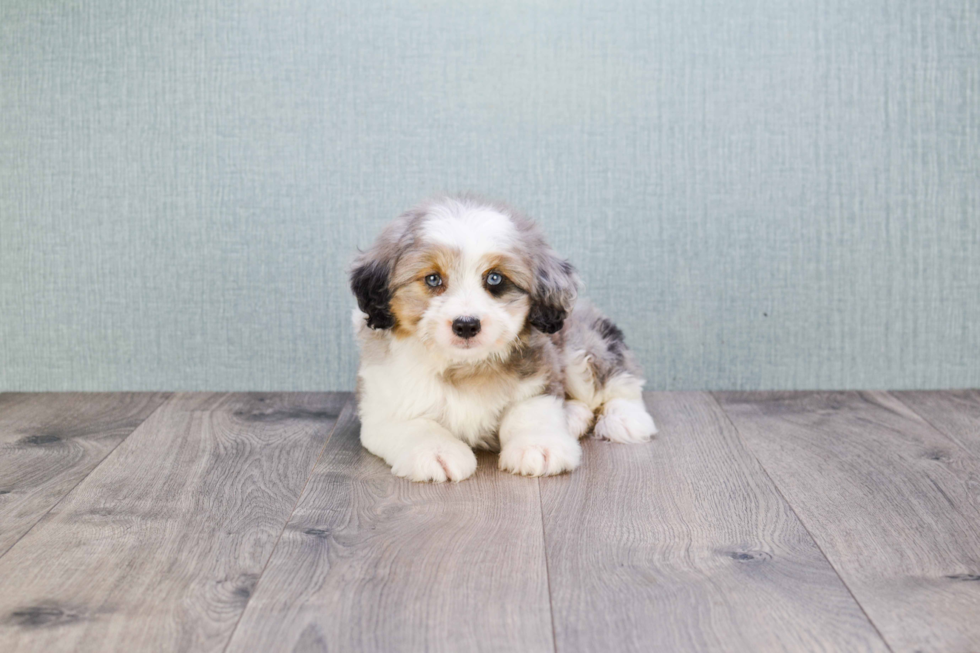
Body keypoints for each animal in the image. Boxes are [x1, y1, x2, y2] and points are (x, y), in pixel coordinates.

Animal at [348, 191, 656, 482]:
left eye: (495, 279)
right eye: (433, 279)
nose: (466, 325)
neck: (464, 367)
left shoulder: (539, 379)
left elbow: (529, 412)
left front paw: (537, 446)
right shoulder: (383, 402)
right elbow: (414, 424)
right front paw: (436, 451)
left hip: (581, 348)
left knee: (618, 383)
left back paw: (624, 418)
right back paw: (575, 417)